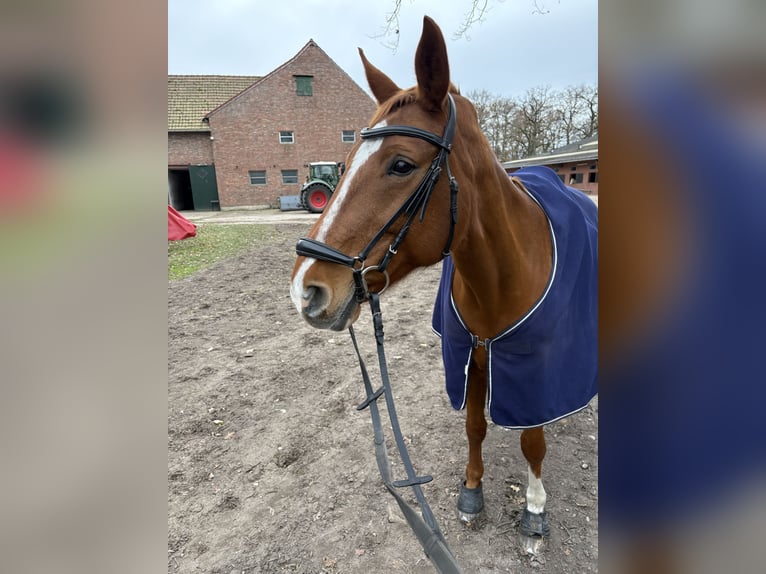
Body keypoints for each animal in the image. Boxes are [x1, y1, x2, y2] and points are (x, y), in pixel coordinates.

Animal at [290, 16, 598, 552]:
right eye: (344, 163)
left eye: (401, 164)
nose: (307, 288)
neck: (499, 277)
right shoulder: (470, 353)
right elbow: (474, 424)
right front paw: (471, 491)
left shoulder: (533, 368)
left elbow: (532, 439)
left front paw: (535, 508)